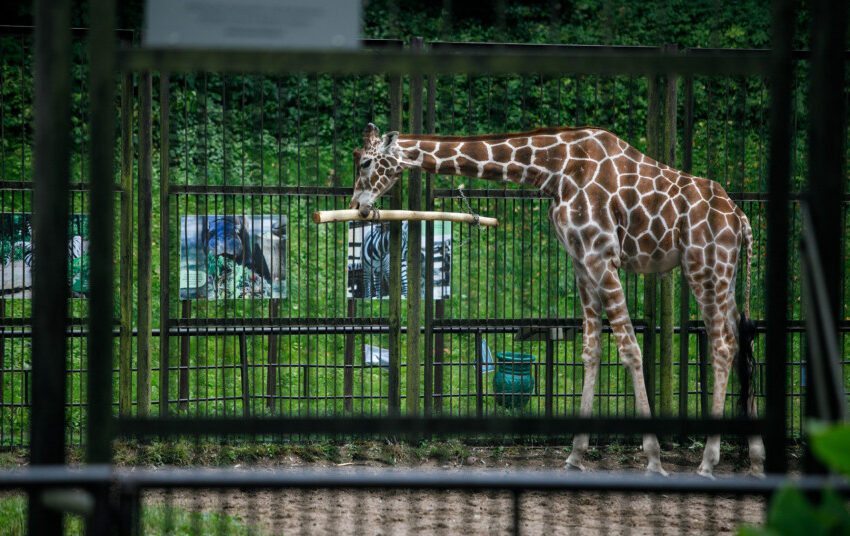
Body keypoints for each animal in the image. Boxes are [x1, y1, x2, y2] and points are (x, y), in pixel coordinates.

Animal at [348, 122, 764, 478]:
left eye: (365, 161)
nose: (358, 206)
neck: (554, 170)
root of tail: (741, 218)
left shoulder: (602, 256)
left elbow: (630, 348)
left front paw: (654, 459)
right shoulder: (581, 261)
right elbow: (591, 351)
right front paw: (575, 455)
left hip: (704, 268)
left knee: (722, 346)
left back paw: (709, 462)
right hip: (723, 276)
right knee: (741, 345)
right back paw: (756, 460)